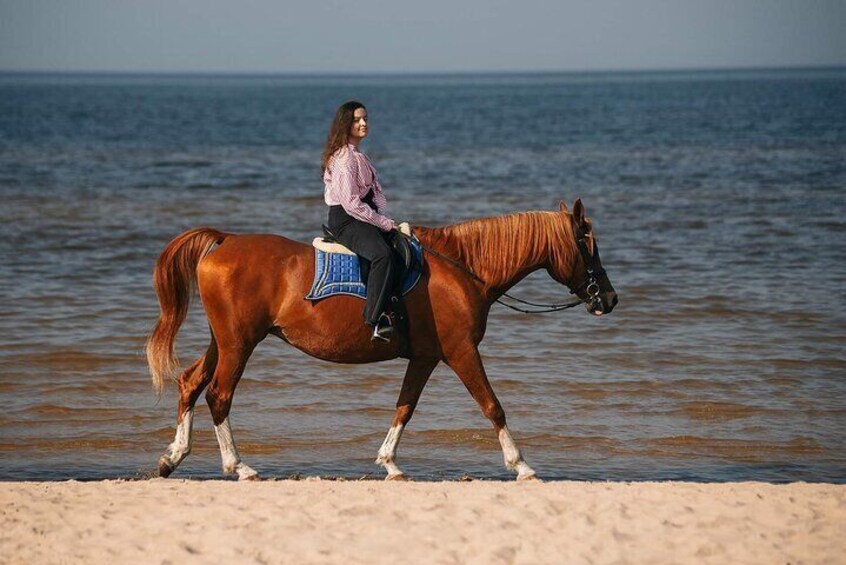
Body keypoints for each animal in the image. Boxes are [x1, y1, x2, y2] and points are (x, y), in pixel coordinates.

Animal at [146, 199, 620, 480]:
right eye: (588, 243)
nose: (610, 298)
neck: (462, 269)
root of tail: (224, 241)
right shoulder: (461, 352)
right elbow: (492, 406)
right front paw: (521, 464)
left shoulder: (426, 358)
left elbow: (404, 407)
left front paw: (389, 463)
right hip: (240, 343)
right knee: (219, 394)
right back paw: (238, 465)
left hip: (224, 340)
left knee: (191, 382)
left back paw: (173, 457)